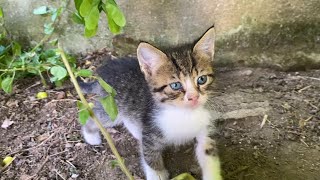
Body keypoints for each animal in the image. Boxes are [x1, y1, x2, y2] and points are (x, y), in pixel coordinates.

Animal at [79, 27, 222, 180]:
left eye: (202, 79)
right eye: (176, 85)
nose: (193, 97)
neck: (184, 113)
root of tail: (101, 75)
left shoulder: (205, 131)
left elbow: (209, 152)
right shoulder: (150, 131)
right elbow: (149, 154)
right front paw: (157, 173)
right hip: (111, 108)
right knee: (95, 115)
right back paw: (91, 136)